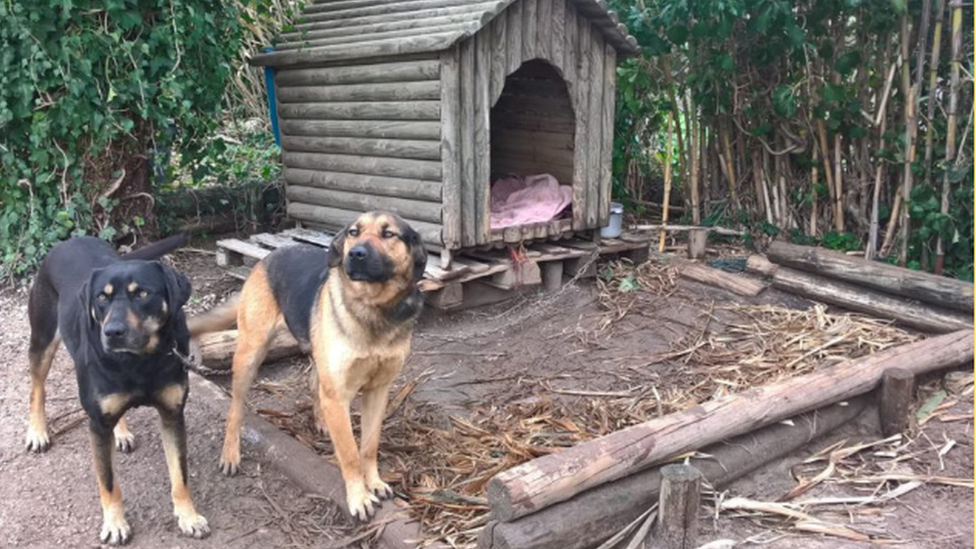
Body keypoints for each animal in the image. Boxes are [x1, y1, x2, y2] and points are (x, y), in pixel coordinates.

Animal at [24, 234, 210, 544]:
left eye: (142, 294)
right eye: (101, 298)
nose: (112, 332)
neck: (139, 361)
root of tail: (71, 239)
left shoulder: (172, 415)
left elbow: (180, 474)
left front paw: (189, 517)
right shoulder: (97, 424)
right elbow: (108, 482)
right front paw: (114, 524)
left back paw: (121, 433)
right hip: (43, 338)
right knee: (37, 388)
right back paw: (37, 432)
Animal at [189, 212, 426, 520]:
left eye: (389, 234)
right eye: (353, 232)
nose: (356, 254)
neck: (374, 308)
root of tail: (269, 257)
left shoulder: (378, 390)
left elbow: (368, 445)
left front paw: (374, 482)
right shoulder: (338, 395)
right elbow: (349, 452)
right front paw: (359, 497)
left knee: (314, 383)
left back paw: (321, 421)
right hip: (249, 356)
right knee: (235, 410)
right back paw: (230, 454)